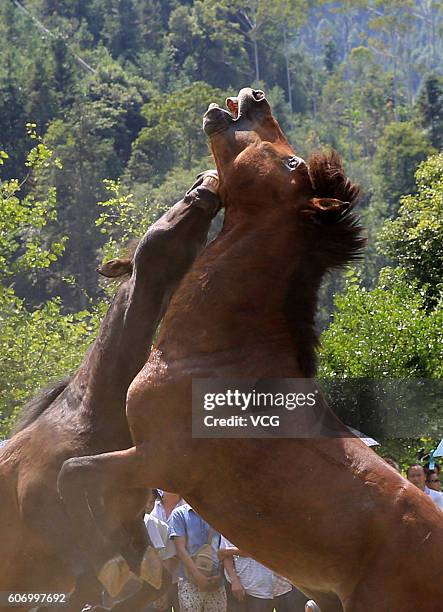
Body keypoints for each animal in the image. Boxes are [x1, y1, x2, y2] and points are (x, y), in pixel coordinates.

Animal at [0, 172, 221, 612]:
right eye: (163, 220)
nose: (204, 184)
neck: (88, 421)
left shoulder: (130, 527)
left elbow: (150, 580)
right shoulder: (63, 540)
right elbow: (99, 571)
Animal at [58, 87, 443, 612]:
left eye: (291, 162)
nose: (256, 96)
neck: (219, 355)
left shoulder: (155, 459)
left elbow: (73, 475)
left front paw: (118, 561)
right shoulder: (150, 463)